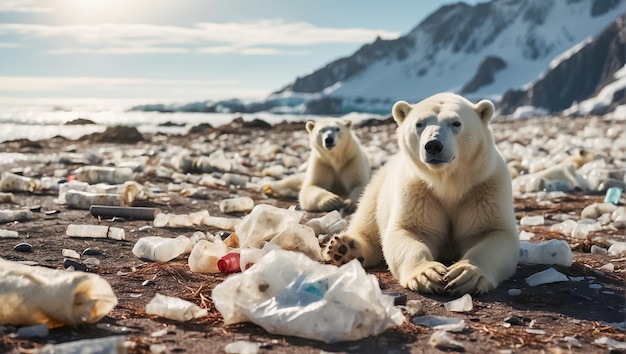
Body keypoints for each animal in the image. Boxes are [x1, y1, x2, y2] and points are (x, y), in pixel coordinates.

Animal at [322, 92, 516, 294]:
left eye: (456, 123)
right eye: (419, 124)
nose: (433, 146)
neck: (447, 183)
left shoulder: (484, 187)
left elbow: (494, 232)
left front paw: (465, 274)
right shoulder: (417, 188)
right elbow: (408, 230)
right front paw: (427, 274)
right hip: (379, 185)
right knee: (367, 216)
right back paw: (343, 248)